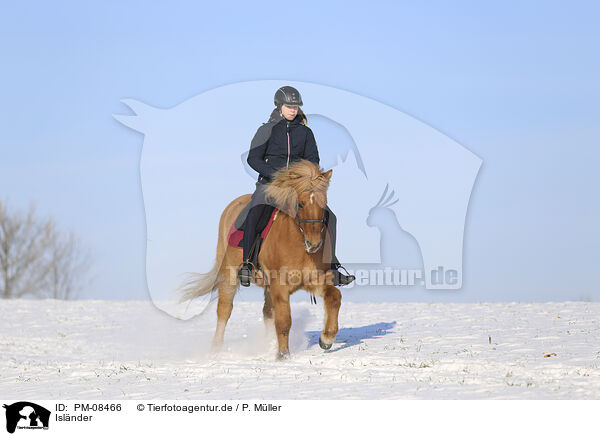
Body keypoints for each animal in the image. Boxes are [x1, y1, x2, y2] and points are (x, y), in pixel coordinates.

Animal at [177, 160, 342, 358]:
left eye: (324, 203)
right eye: (301, 204)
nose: (314, 243)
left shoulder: (311, 279)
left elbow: (334, 296)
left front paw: (326, 339)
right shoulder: (279, 285)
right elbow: (284, 321)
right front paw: (283, 355)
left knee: (266, 312)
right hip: (229, 275)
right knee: (224, 310)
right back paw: (216, 350)